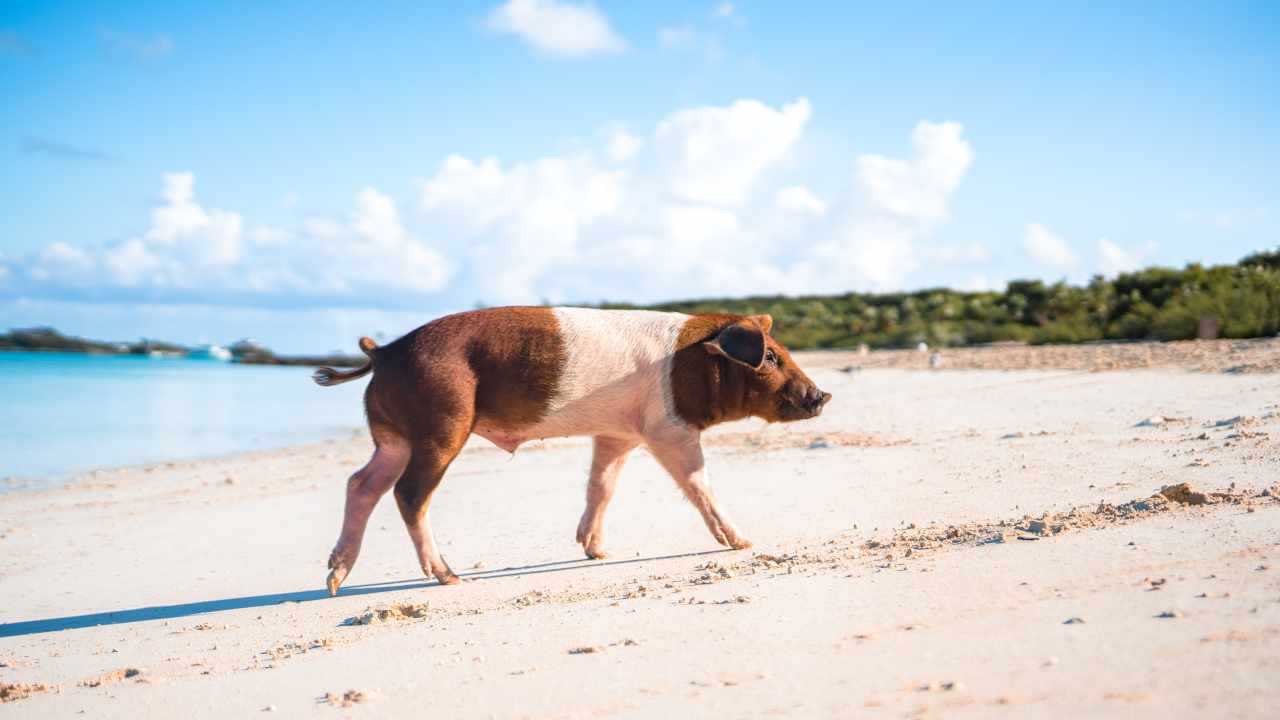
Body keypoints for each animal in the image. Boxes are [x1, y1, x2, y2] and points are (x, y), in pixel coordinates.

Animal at [309, 304, 829, 591]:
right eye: (770, 356)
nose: (822, 395)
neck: (695, 363)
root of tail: (382, 353)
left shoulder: (619, 433)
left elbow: (602, 485)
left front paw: (597, 552)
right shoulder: (667, 428)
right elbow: (699, 483)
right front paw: (744, 542)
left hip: (394, 436)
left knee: (362, 483)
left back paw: (335, 581)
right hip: (441, 424)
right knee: (409, 493)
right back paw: (451, 577)